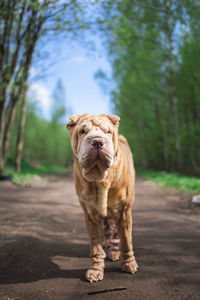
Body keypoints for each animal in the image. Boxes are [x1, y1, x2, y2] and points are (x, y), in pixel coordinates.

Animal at [66, 113, 138, 282]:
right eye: (83, 131)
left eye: (108, 132)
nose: (98, 141)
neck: (99, 179)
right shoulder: (91, 215)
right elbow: (96, 246)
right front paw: (96, 269)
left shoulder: (124, 211)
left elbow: (126, 241)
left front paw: (129, 263)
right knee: (107, 231)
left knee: (117, 235)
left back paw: (115, 251)